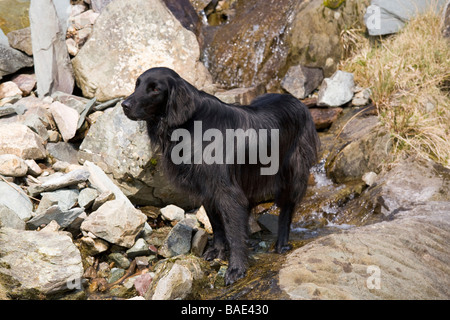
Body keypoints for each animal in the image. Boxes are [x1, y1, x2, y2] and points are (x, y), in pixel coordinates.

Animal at [122, 67, 320, 284]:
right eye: (137, 84)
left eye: (155, 89)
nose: (124, 105)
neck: (192, 125)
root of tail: (298, 102)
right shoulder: (206, 190)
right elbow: (216, 224)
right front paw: (217, 251)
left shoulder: (227, 192)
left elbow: (233, 232)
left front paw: (236, 268)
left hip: (292, 174)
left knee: (286, 210)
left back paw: (281, 244)